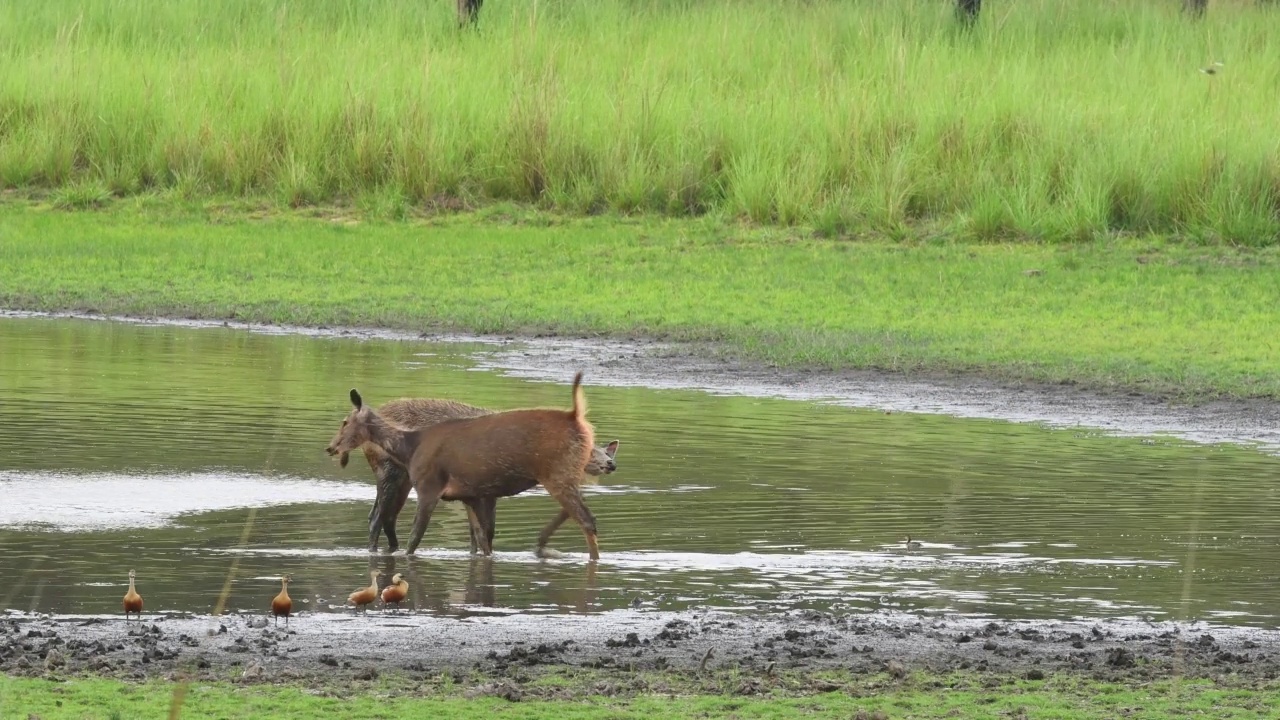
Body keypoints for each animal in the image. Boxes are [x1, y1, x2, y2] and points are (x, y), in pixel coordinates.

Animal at [330, 368, 609, 561]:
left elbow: (416, 538)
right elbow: (483, 541)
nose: (331, 447)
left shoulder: (430, 488)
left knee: (586, 519)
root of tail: (577, 417)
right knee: (382, 517)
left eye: (345, 421)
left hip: (557, 474)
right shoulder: (470, 495)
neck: (410, 446)